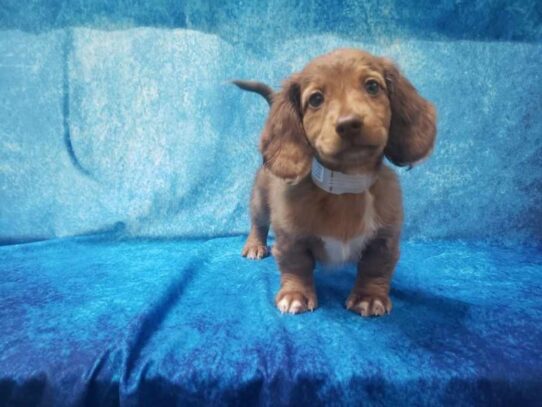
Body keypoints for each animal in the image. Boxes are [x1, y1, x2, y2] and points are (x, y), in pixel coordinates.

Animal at [234, 47, 438, 316]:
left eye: (372, 86)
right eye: (316, 99)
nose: (349, 124)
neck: (345, 186)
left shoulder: (384, 240)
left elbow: (375, 268)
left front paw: (369, 298)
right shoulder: (290, 237)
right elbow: (295, 265)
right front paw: (296, 295)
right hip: (259, 200)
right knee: (258, 224)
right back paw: (255, 246)